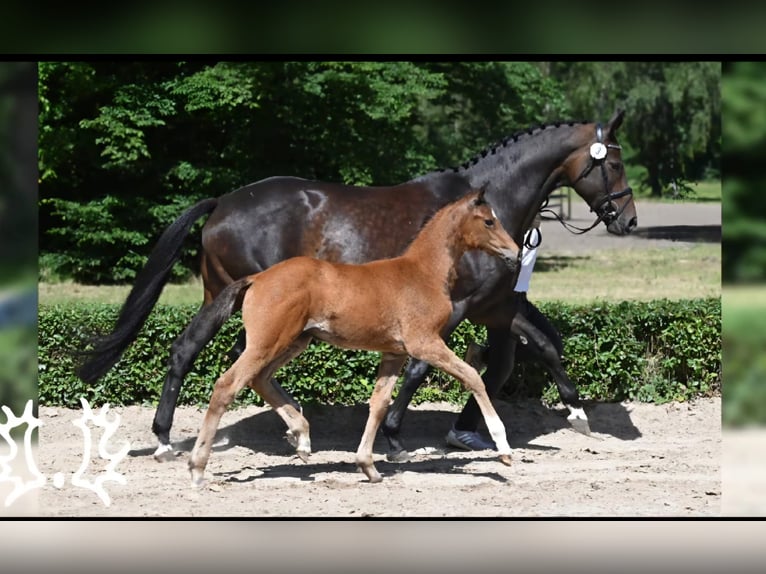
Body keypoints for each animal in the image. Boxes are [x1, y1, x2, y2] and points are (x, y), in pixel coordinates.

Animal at [188, 190, 520, 486]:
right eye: (489, 221)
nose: (515, 253)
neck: (423, 273)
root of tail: (257, 279)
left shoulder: (395, 353)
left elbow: (379, 402)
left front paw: (368, 466)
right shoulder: (424, 343)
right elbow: (472, 377)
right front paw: (503, 450)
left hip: (294, 341)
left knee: (259, 379)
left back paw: (302, 438)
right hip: (267, 342)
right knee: (227, 385)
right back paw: (197, 467)